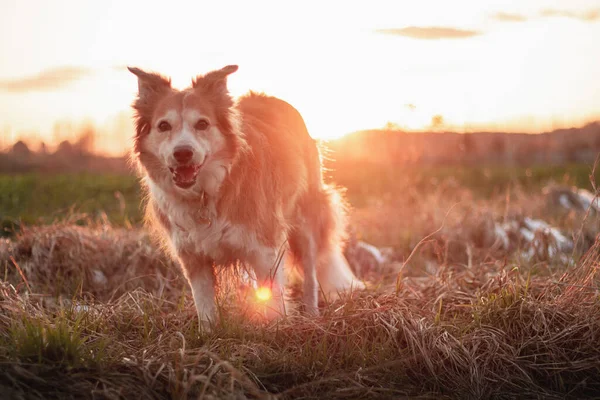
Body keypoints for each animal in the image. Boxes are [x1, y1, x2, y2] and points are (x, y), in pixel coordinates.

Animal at [128, 65, 364, 328]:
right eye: (163, 126)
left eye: (202, 124)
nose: (183, 153)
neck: (206, 192)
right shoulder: (193, 257)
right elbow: (204, 304)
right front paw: (208, 332)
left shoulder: (265, 250)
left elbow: (274, 302)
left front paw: (274, 330)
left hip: (306, 222)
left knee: (311, 274)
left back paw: (312, 315)